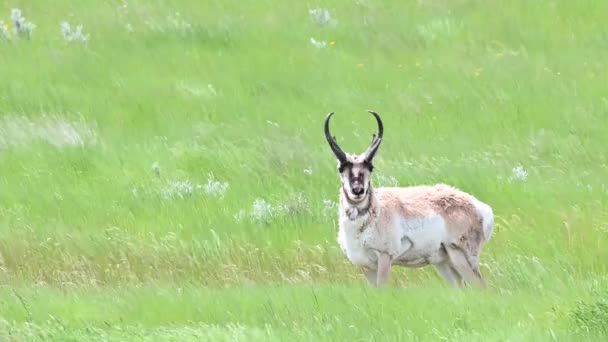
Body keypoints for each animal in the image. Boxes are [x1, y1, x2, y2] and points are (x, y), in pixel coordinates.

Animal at [324, 111, 494, 288]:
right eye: (341, 168)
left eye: (370, 167)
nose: (358, 190)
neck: (376, 211)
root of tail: (479, 206)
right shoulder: (366, 267)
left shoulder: (385, 258)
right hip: (443, 262)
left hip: (461, 257)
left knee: (481, 286)